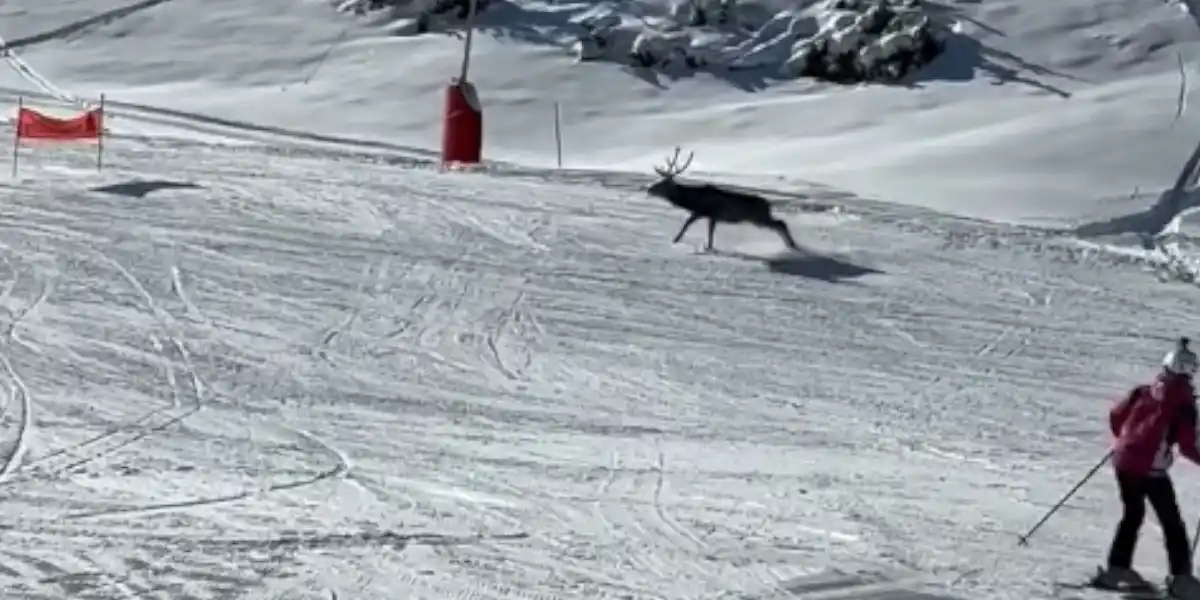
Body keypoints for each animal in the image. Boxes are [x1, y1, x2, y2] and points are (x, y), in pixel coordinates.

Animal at [647, 147, 799, 252]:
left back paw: (792, 245)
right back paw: (790, 245)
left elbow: (688, 224)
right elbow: (709, 231)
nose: (648, 189)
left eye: (661, 184)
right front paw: (707, 246)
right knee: (780, 223)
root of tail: (768, 205)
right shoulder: (711, 216)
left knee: (780, 223)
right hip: (759, 218)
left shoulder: (705, 212)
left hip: (759, 218)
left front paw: (676, 240)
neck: (692, 200)